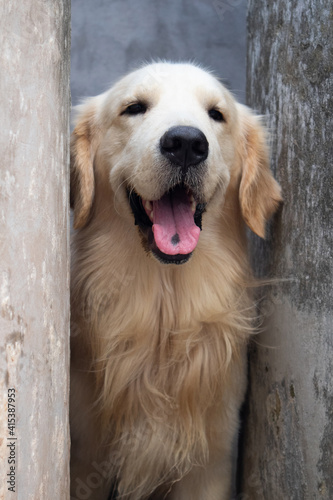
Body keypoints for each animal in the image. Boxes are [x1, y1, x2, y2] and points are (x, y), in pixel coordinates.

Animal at [69, 62, 280, 500]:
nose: (185, 143)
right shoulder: (84, 459)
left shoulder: (211, 463)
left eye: (216, 114)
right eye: (134, 108)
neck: (164, 310)